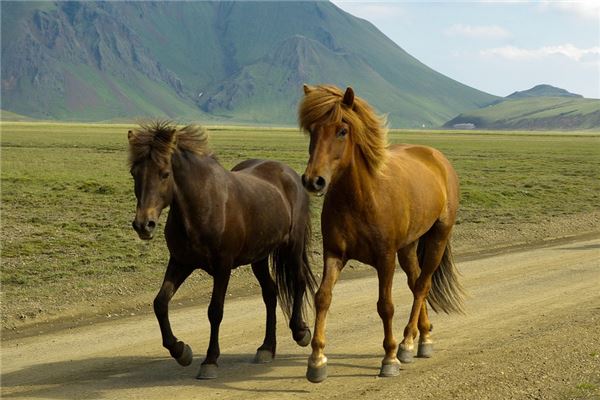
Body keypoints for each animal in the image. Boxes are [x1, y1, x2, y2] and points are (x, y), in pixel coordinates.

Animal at [125, 120, 316, 380]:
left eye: (165, 173)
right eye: (134, 173)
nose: (144, 224)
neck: (202, 206)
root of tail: (289, 173)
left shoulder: (222, 267)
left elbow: (215, 311)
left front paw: (210, 361)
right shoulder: (180, 262)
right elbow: (160, 303)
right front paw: (180, 351)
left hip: (292, 246)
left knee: (298, 281)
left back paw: (300, 332)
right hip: (259, 256)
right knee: (270, 293)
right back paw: (267, 348)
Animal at [298, 84, 464, 382]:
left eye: (342, 130)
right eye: (312, 130)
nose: (313, 180)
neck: (360, 197)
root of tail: (437, 157)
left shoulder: (385, 258)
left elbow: (385, 305)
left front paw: (389, 357)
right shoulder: (334, 254)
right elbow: (322, 297)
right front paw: (317, 360)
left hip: (438, 237)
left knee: (422, 285)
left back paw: (408, 343)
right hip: (408, 247)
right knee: (415, 282)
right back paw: (424, 338)